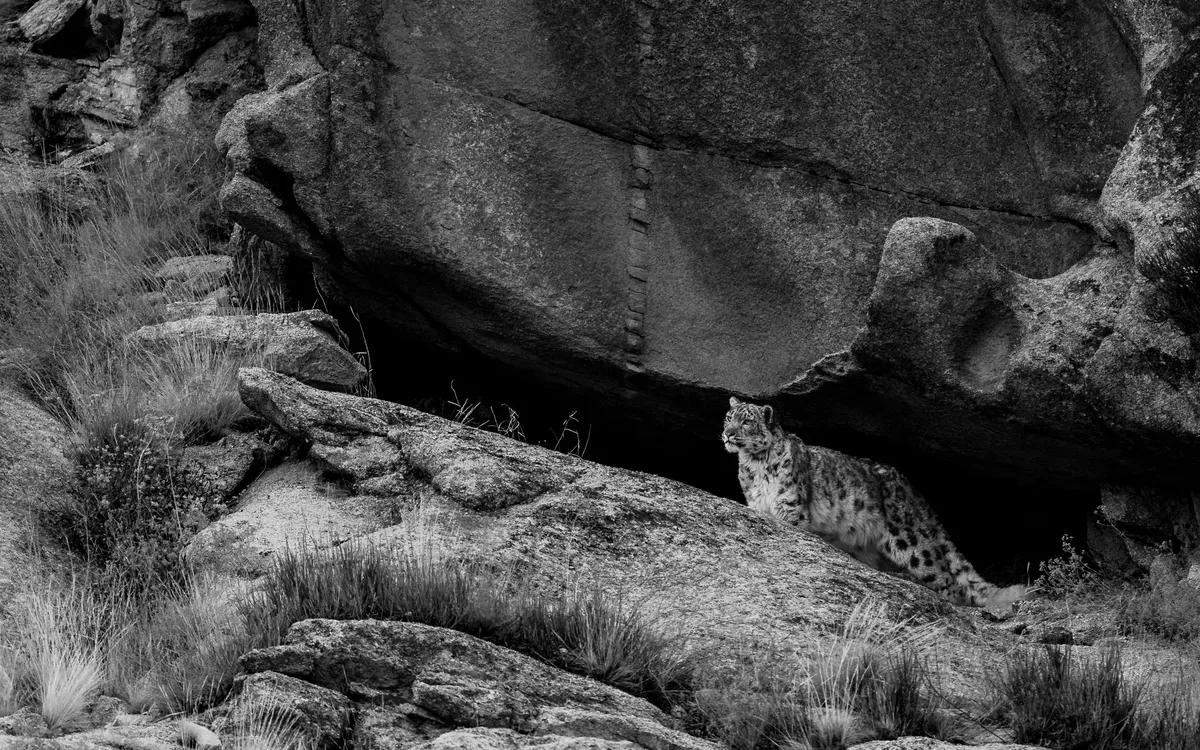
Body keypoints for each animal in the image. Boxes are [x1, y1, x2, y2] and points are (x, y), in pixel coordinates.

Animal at [722, 396, 1025, 608]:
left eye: (746, 421)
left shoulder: (790, 508)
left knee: (948, 579)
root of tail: (915, 493)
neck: (755, 466)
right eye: (728, 417)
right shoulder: (757, 505)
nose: (728, 434)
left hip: (913, 543)